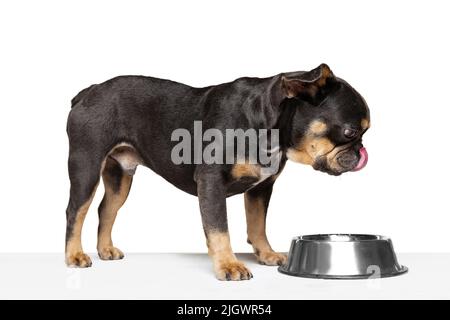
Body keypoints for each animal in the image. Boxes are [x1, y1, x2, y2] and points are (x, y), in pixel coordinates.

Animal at [66, 63, 370, 280]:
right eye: (350, 131)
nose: (360, 152)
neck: (267, 124)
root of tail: (88, 92)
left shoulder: (261, 188)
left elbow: (257, 224)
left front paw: (266, 253)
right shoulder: (211, 184)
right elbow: (219, 228)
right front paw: (229, 265)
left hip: (120, 178)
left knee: (106, 209)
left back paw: (105, 249)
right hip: (86, 166)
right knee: (76, 211)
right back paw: (74, 255)